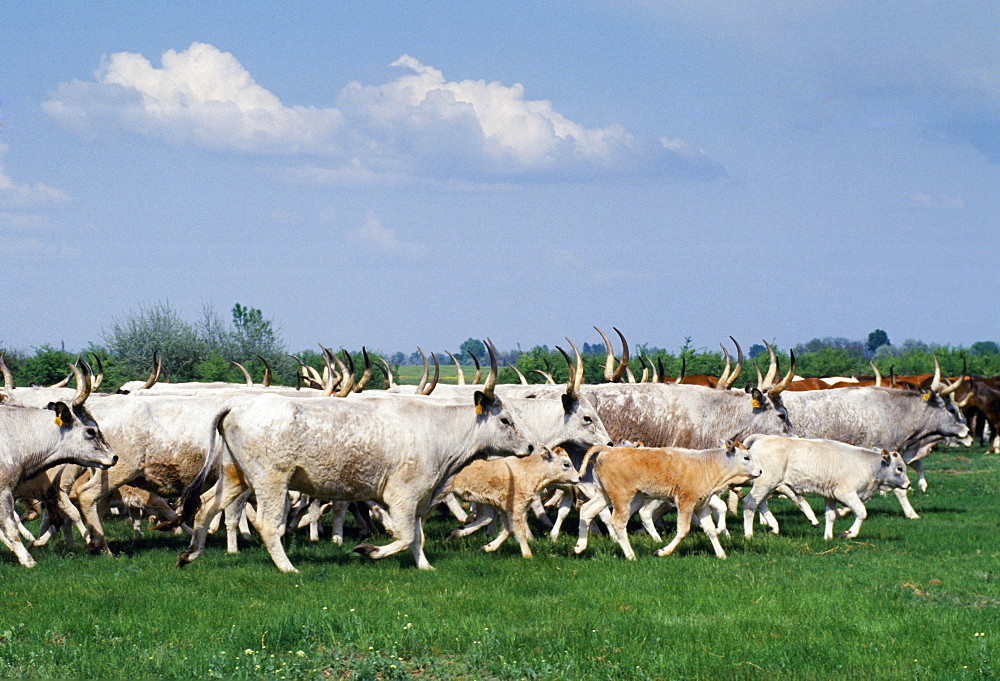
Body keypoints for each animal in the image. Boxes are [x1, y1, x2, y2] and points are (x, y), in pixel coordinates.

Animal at [444, 444, 580, 556]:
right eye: (566, 464)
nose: (579, 477)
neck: (528, 471)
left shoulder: (507, 506)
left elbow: (508, 529)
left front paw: (488, 547)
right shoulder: (515, 506)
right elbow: (519, 530)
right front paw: (528, 555)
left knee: (485, 517)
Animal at [744, 436, 916, 540]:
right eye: (899, 468)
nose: (908, 484)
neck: (867, 464)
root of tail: (762, 438)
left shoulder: (830, 495)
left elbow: (831, 516)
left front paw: (828, 537)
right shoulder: (845, 493)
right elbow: (862, 512)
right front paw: (849, 533)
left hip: (768, 486)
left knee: (761, 503)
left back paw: (774, 526)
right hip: (765, 483)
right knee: (749, 503)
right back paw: (749, 535)